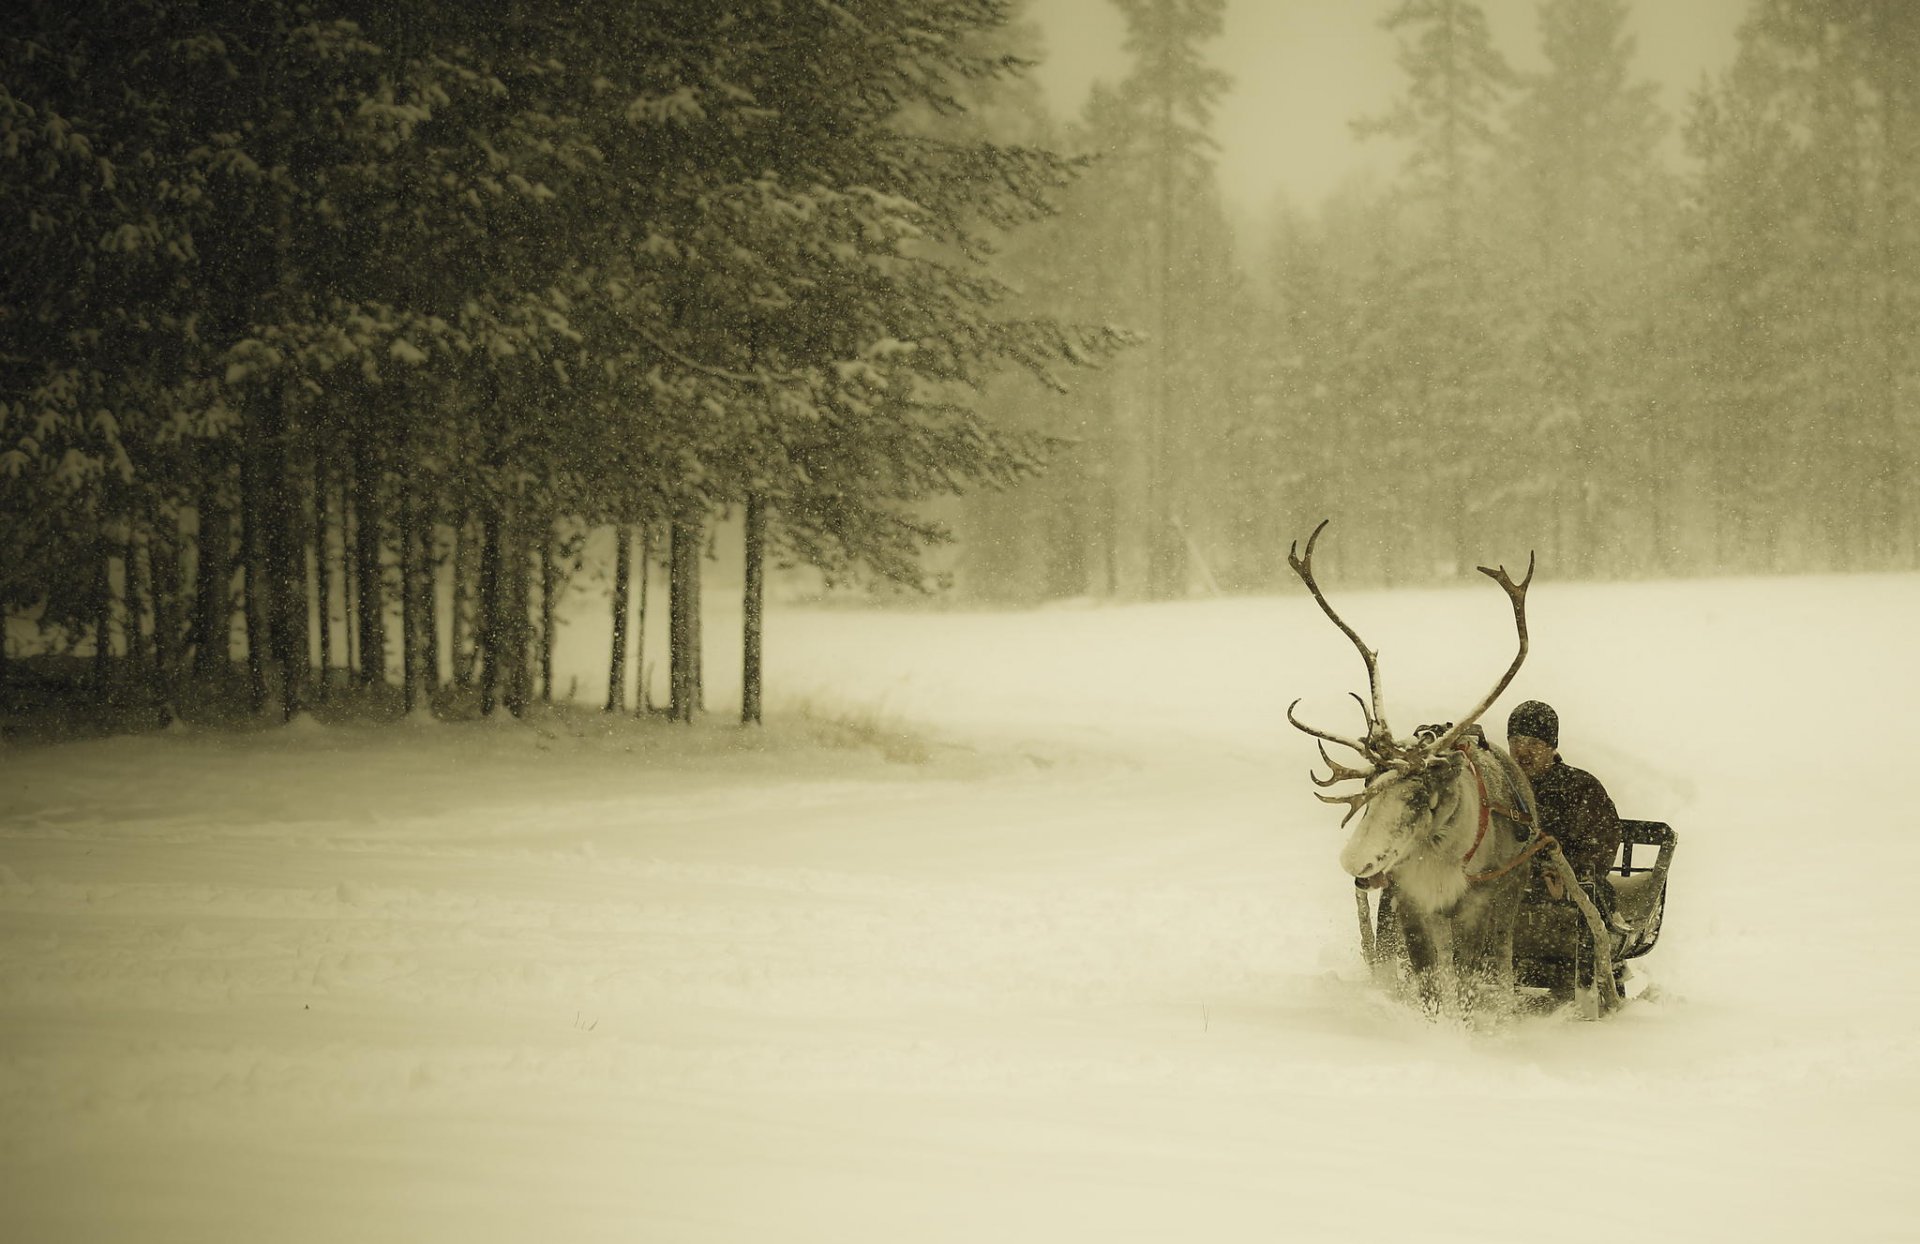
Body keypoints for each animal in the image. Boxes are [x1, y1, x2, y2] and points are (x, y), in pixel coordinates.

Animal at [1286, 520, 1545, 1017]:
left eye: (1417, 796)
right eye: (1370, 790)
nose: (1353, 862)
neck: (1439, 856)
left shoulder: (1476, 905)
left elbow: (1467, 980)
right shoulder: (1410, 903)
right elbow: (1427, 983)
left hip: (1510, 899)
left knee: (1500, 966)